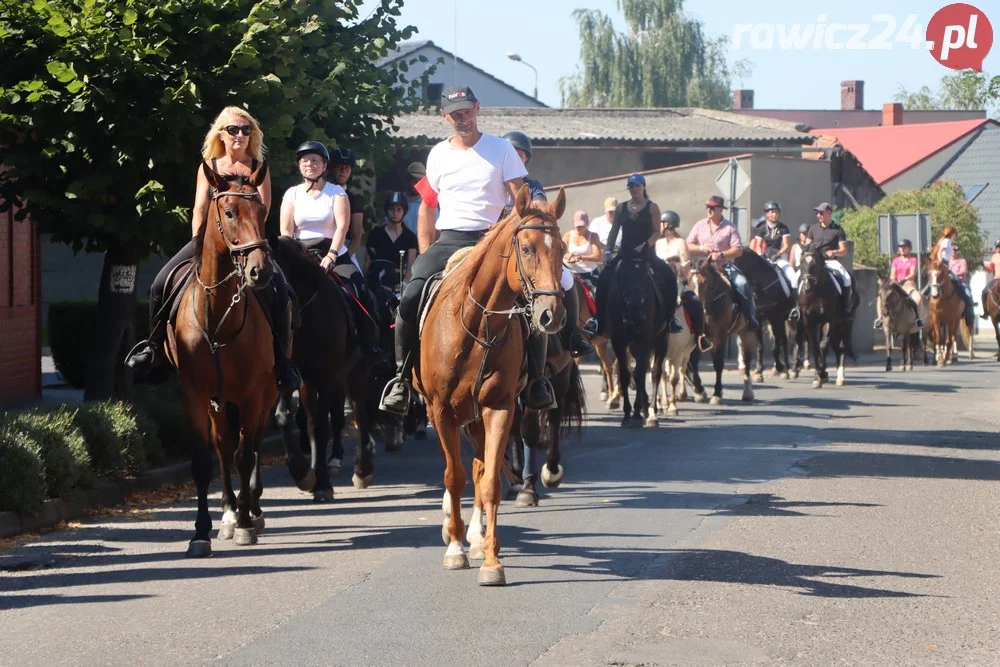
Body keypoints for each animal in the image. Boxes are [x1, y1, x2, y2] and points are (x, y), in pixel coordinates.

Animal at [167, 162, 278, 560]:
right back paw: (229, 512)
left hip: (267, 391)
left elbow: (246, 454)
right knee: (222, 444)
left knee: (253, 443)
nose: (260, 271)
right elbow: (205, 459)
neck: (217, 315)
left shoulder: (252, 393)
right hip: (218, 399)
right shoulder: (194, 391)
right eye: (229, 212)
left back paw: (251, 511)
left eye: (262, 212)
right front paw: (201, 532)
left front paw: (246, 524)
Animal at [270, 237, 378, 504]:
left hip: (358, 372)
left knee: (360, 413)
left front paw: (322, 486)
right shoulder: (294, 376)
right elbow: (287, 417)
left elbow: (321, 428)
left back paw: (363, 470)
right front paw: (303, 473)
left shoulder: (327, 377)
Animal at [414, 185, 572, 588]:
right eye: (527, 248)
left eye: (563, 248)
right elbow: (452, 476)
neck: (476, 323)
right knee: (461, 469)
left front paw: (490, 560)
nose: (551, 315)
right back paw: (454, 531)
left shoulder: (499, 407)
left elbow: (489, 483)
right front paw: (454, 549)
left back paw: (474, 535)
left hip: (477, 417)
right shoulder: (441, 411)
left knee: (480, 467)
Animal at [688, 260, 756, 408]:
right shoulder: (698, 335)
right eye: (688, 281)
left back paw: (748, 392)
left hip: (746, 332)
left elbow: (719, 363)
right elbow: (694, 361)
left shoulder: (720, 335)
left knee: (747, 359)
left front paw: (717, 394)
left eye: (706, 283)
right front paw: (699, 391)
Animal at [800, 248, 856, 388]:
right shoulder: (809, 322)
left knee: (842, 347)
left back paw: (840, 377)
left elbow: (823, 346)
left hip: (845, 324)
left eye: (815, 265)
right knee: (835, 347)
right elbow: (815, 347)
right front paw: (818, 376)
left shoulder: (829, 320)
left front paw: (822, 373)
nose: (807, 287)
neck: (816, 293)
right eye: (801, 264)